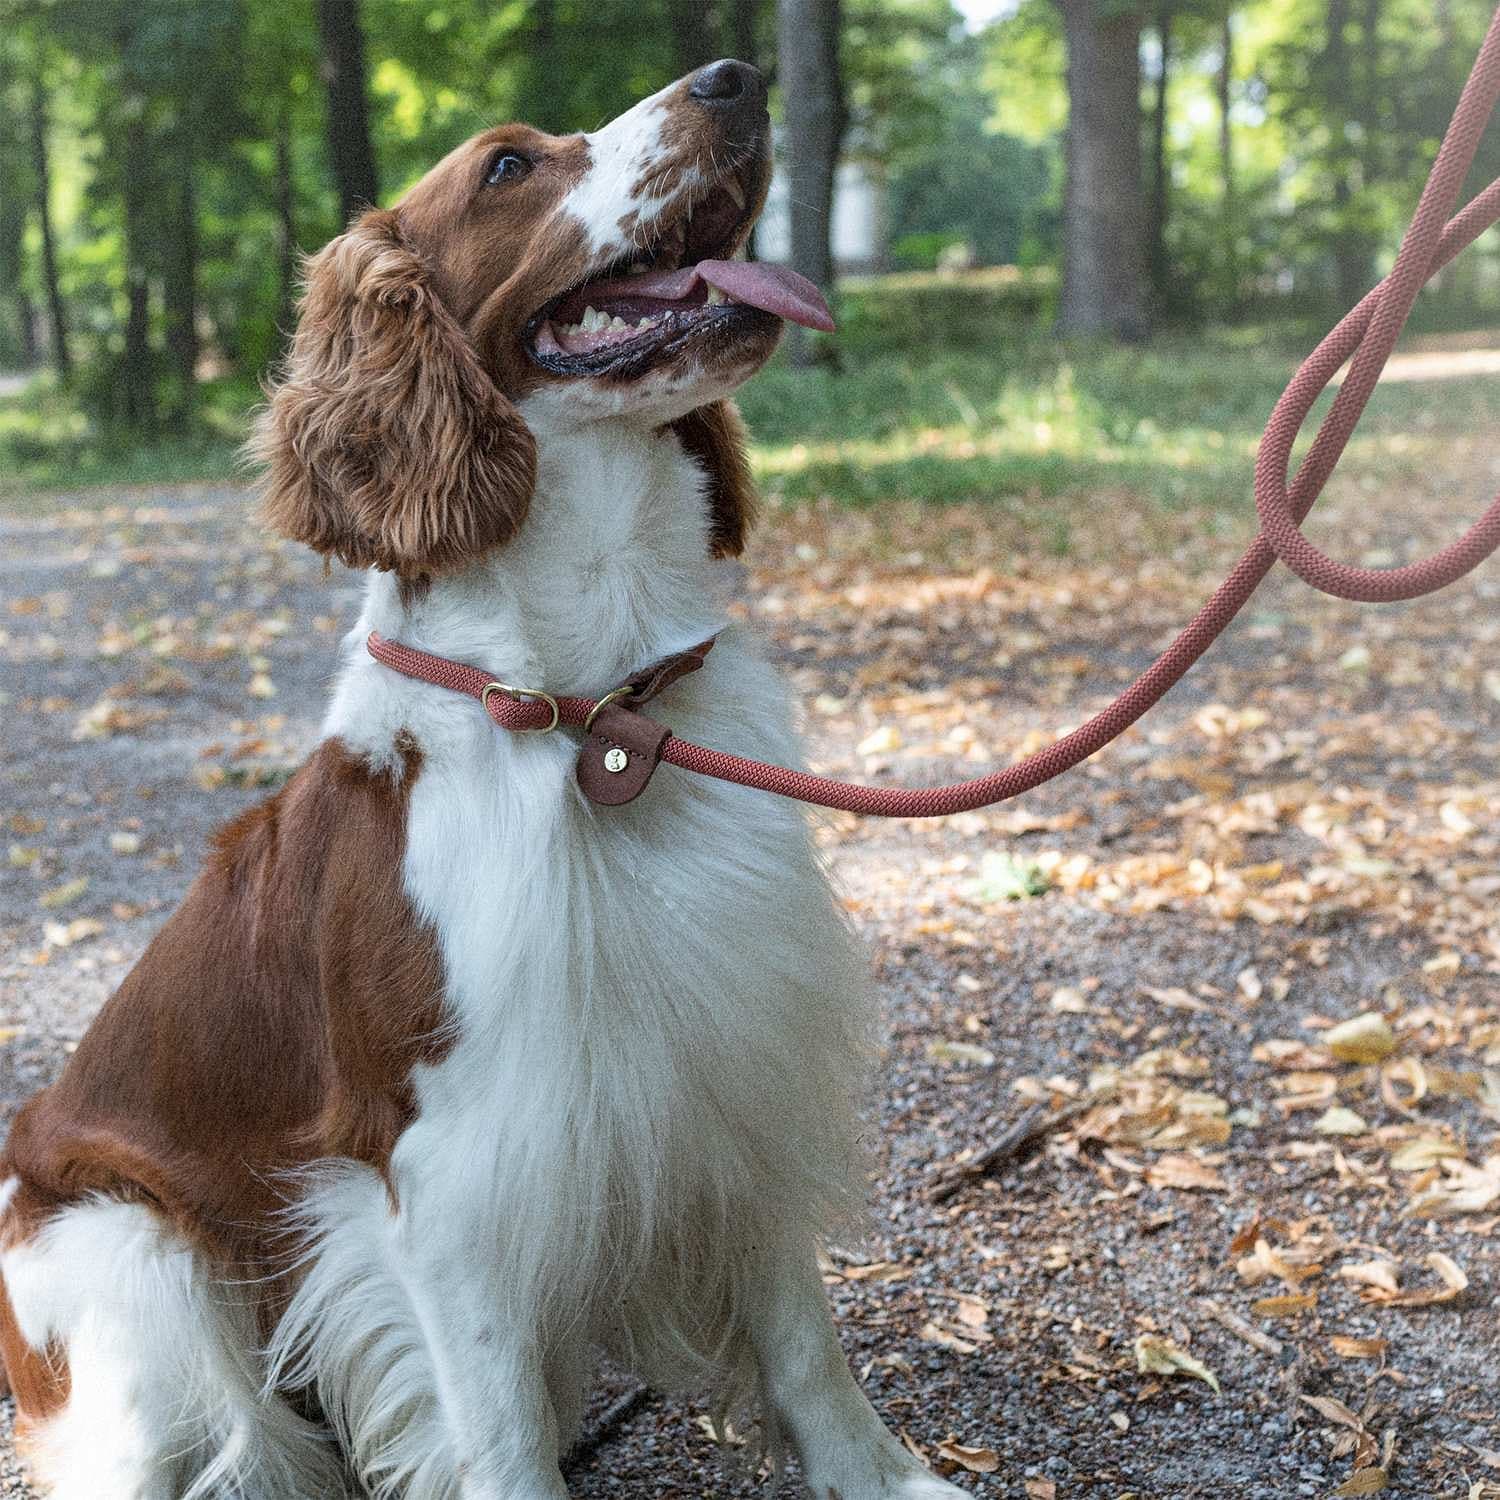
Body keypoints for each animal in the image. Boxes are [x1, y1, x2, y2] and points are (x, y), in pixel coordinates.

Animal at [0, 61, 960, 1500]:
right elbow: (501, 1439)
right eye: (508, 167)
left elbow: (805, 1346)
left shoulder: (730, 1075)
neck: (595, 717)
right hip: (138, 1282)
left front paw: (883, 1479)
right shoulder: (452, 1179)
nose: (736, 78)